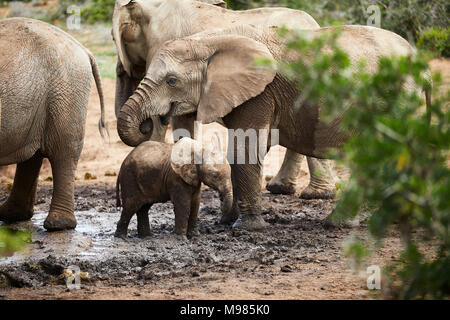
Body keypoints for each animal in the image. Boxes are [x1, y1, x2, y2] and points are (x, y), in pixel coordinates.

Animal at [0, 17, 106, 231]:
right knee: (32, 154)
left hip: (65, 88)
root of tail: (83, 48)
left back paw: (58, 225)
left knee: (63, 151)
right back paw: (10, 214)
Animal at [115, 25, 426, 230]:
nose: (150, 122)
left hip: (397, 101)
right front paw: (227, 222)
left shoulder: (260, 93)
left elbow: (246, 149)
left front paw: (246, 229)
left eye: (171, 81)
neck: (209, 41)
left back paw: (341, 224)